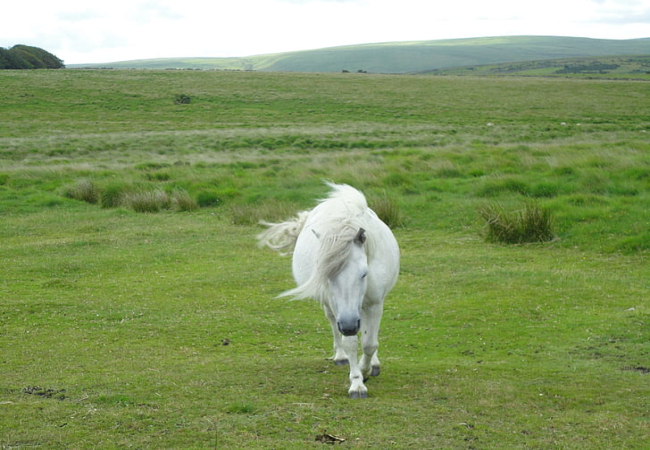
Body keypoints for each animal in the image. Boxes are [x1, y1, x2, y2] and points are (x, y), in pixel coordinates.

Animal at [257, 182, 400, 398]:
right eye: (328, 275)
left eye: (364, 274)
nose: (349, 326)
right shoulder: (342, 313)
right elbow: (351, 342)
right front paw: (357, 382)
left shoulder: (374, 303)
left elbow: (369, 343)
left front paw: (366, 368)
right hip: (332, 308)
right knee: (334, 324)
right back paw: (340, 356)